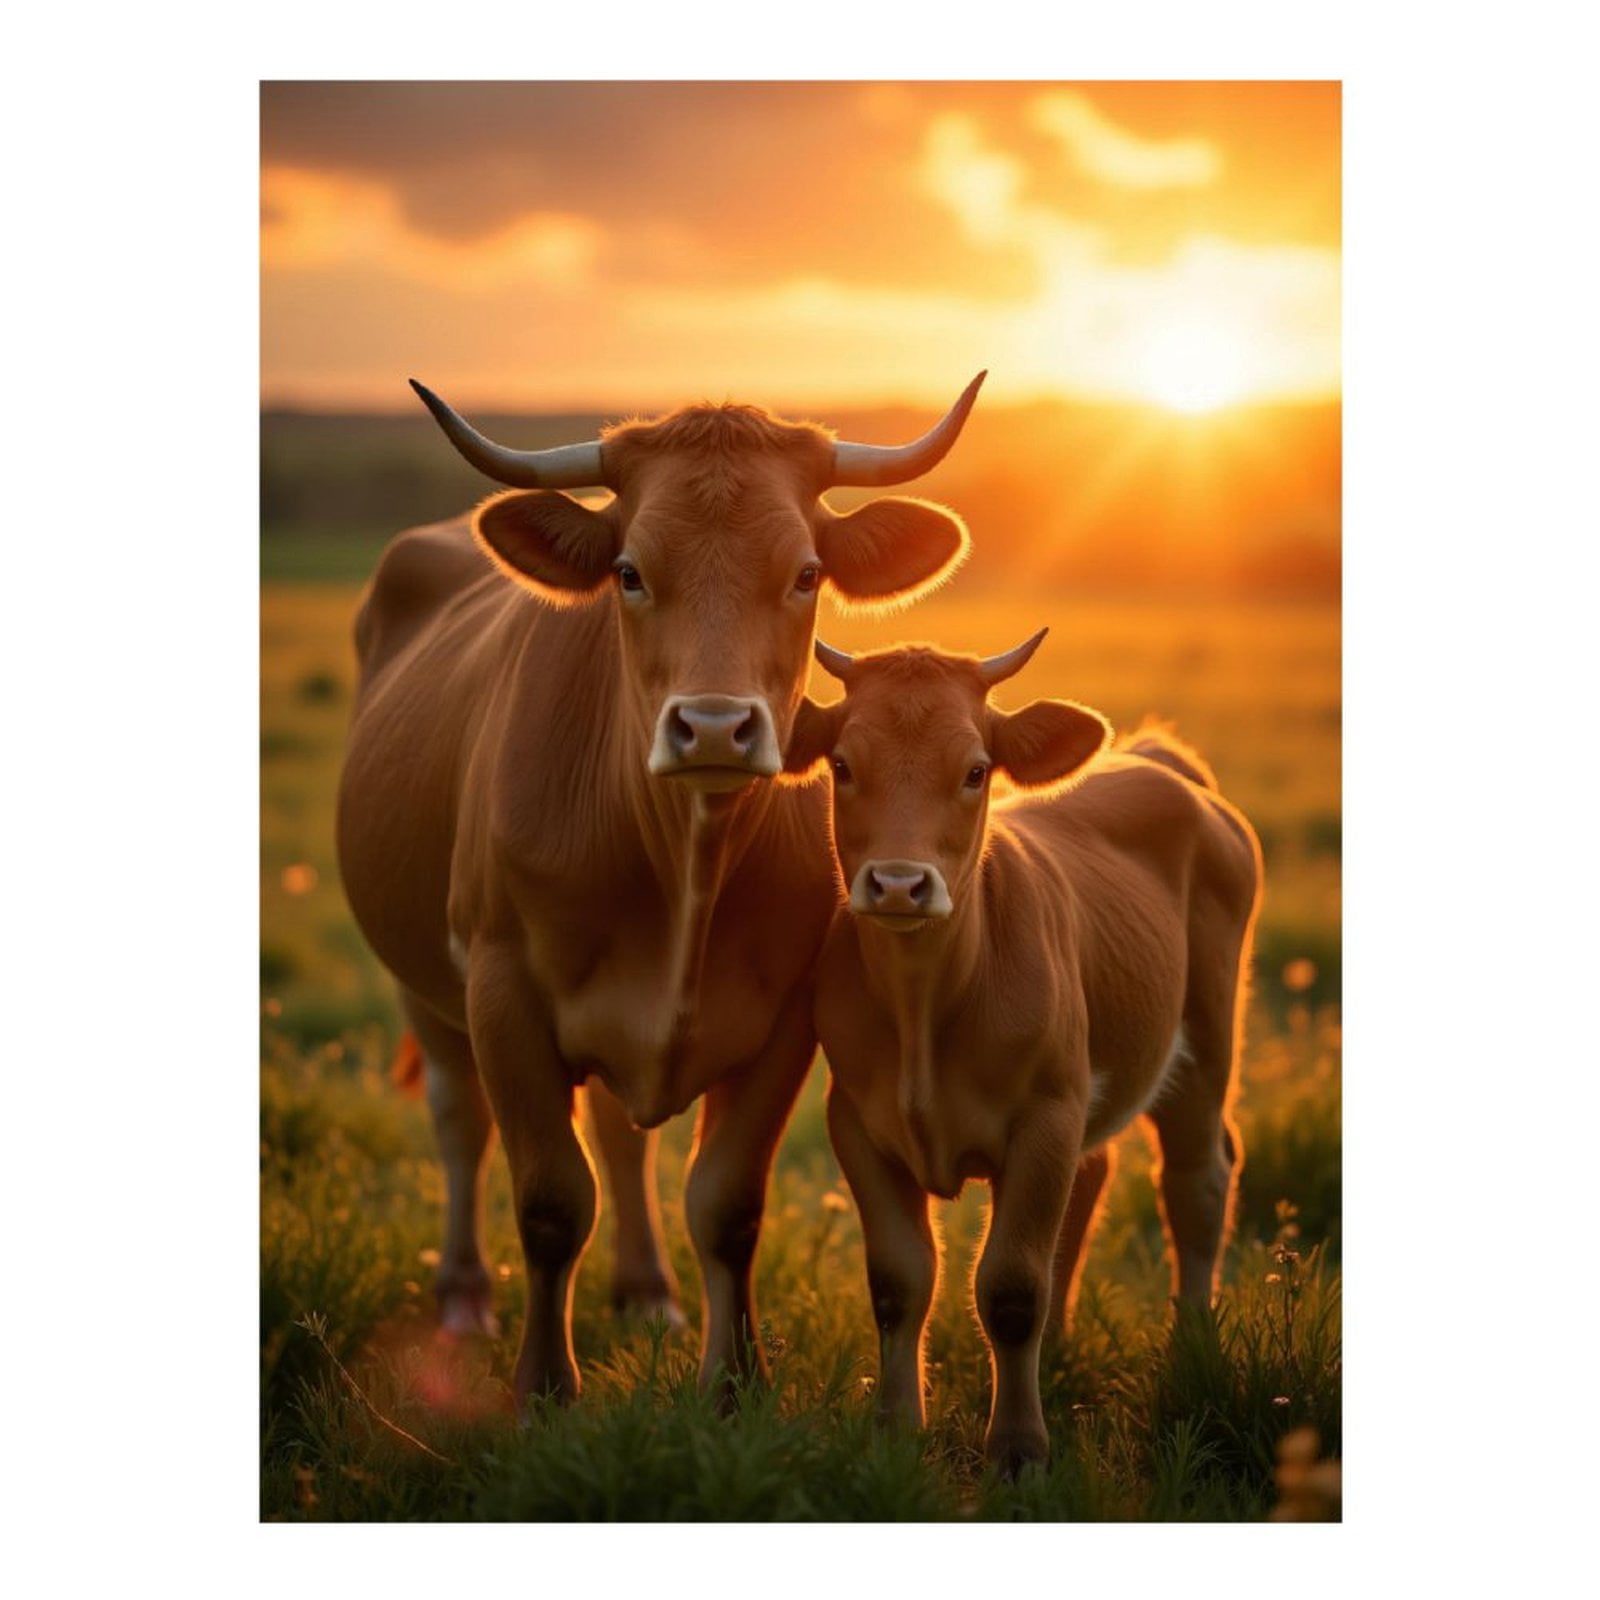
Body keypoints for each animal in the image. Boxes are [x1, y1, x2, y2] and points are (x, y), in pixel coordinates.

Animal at [336, 375, 985, 1408]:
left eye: (807, 573)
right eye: (631, 572)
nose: (714, 727)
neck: (681, 859)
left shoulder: (785, 1017)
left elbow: (726, 1204)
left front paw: (734, 1384)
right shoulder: (501, 992)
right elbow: (551, 1200)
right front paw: (544, 1390)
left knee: (618, 1132)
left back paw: (645, 1294)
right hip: (422, 986)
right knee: (458, 1120)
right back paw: (465, 1297)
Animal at [784, 632, 1262, 1474]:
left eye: (976, 770)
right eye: (841, 764)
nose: (900, 884)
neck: (925, 999)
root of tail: (1156, 760)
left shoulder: (1044, 1117)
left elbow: (1010, 1289)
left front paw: (1018, 1450)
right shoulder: (856, 1123)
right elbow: (900, 1282)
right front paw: (895, 1430)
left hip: (1204, 1039)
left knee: (1197, 1180)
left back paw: (1192, 1346)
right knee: (1095, 1176)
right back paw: (1064, 1343)